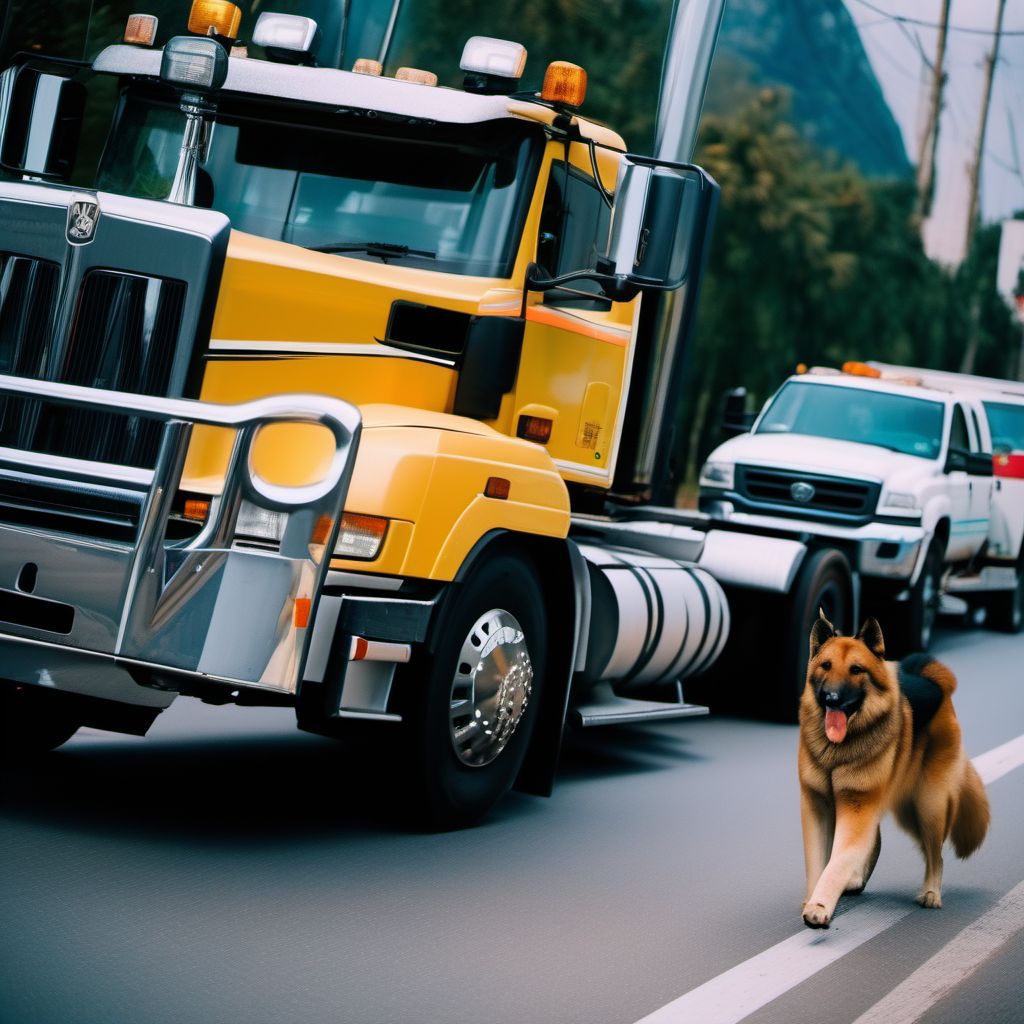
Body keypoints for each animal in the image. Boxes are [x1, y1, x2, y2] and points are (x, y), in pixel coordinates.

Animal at [794, 610, 987, 933]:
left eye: (856, 670)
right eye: (825, 666)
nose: (831, 698)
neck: (836, 751)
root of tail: (934, 679)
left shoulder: (856, 809)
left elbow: (839, 859)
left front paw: (820, 907)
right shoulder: (817, 809)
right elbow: (817, 862)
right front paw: (812, 899)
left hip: (927, 806)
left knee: (935, 855)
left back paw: (931, 892)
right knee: (879, 841)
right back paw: (857, 879)